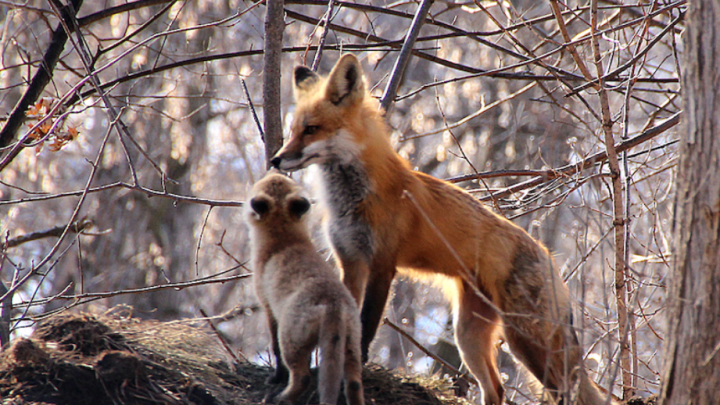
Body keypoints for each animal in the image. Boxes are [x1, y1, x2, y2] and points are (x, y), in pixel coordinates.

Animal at [246, 170, 362, 404]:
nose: (273, 168)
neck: (284, 241)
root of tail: (334, 303)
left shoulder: (267, 306)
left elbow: (274, 349)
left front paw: (276, 378)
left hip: (291, 340)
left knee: (302, 377)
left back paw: (279, 397)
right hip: (352, 347)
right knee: (354, 384)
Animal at [270, 55, 612, 404]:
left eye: (311, 130)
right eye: (293, 130)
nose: (275, 159)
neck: (352, 198)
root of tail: (548, 256)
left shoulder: (382, 264)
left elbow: (366, 326)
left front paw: (354, 371)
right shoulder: (350, 260)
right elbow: (349, 322)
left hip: (526, 342)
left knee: (566, 392)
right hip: (468, 336)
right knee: (496, 388)